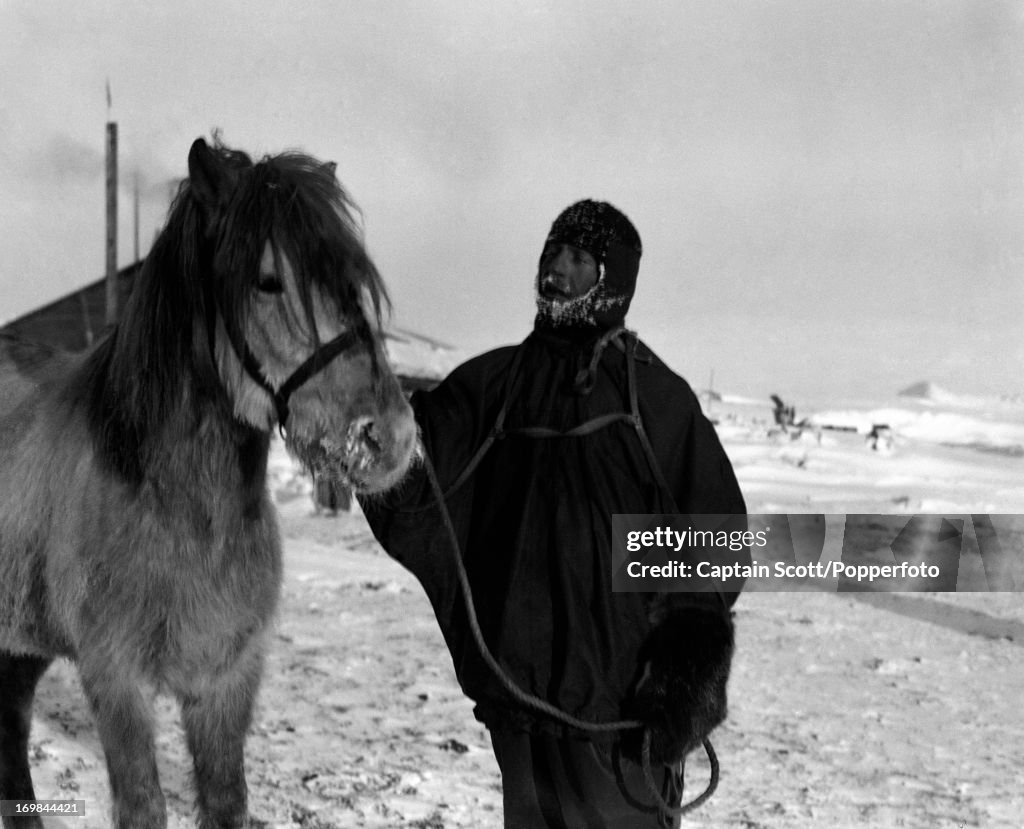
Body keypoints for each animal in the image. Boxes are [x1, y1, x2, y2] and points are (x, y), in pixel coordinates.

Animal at [1, 137, 415, 826]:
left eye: (352, 278)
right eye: (268, 280)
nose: (391, 438)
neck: (176, 510)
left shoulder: (228, 681)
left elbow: (226, 800)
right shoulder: (116, 681)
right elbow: (143, 805)